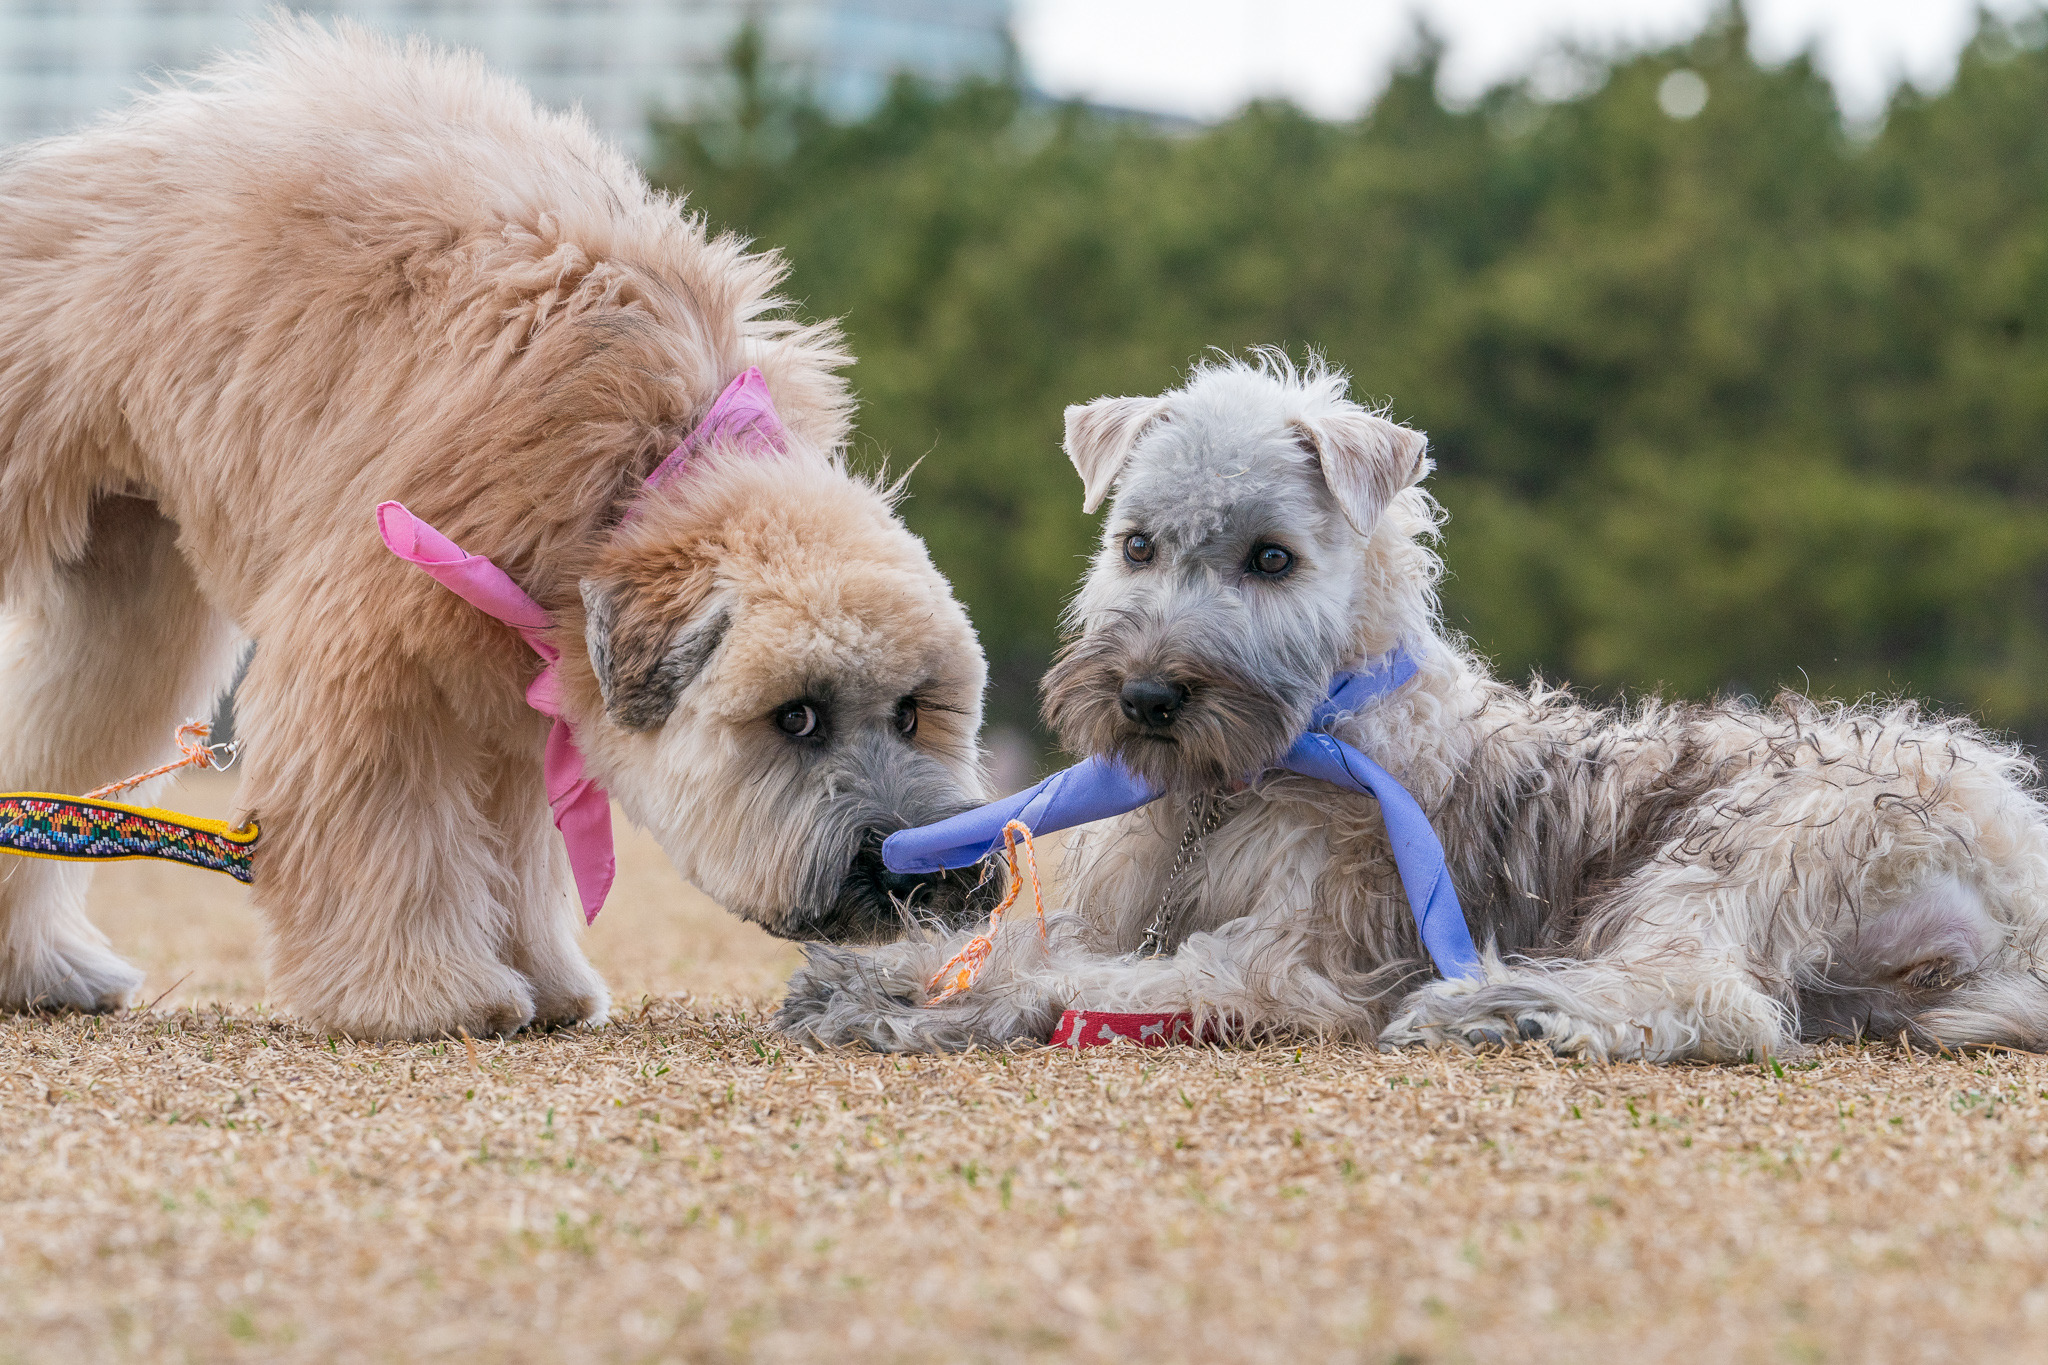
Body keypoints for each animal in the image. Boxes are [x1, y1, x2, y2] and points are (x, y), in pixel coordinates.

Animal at [0, 21, 991, 1039]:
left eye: (913, 711)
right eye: (795, 716)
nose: (932, 870)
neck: (641, 474)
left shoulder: (520, 692)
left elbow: (514, 852)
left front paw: (539, 976)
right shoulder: (369, 657)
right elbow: (384, 838)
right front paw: (421, 991)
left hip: (130, 609)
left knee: (49, 741)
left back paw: (35, 968)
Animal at [774, 358, 2048, 1064]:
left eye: (1271, 558)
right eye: (1135, 543)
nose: (1145, 699)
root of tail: (2010, 873)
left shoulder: (1288, 960)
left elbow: (1086, 980)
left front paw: (936, 1005)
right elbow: (1023, 944)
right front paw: (879, 976)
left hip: (1726, 854)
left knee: (1708, 1002)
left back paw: (1508, 1006)